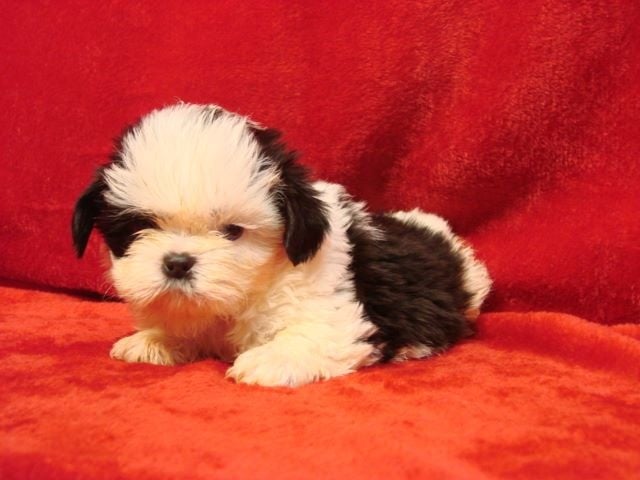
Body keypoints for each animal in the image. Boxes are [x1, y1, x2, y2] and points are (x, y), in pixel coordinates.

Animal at [72, 103, 491, 387]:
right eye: (141, 226)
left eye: (233, 232)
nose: (177, 262)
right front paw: (155, 339)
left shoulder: (336, 312)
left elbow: (313, 334)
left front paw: (270, 359)